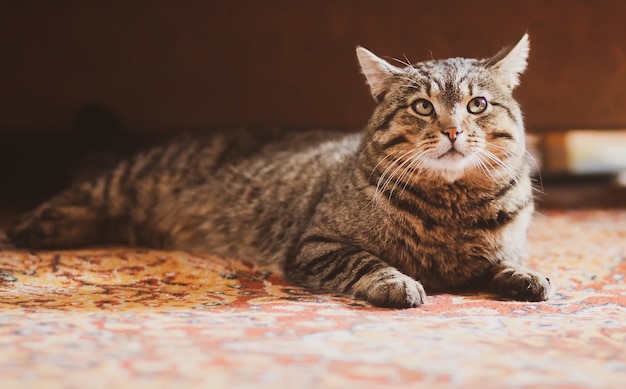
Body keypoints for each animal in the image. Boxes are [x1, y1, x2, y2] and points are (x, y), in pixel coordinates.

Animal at [4, 34, 552, 306]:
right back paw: (29, 229)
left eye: (477, 104)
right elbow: (368, 263)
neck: (451, 204)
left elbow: (509, 260)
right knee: (80, 193)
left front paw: (528, 277)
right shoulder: (318, 244)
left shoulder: (505, 244)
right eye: (422, 107)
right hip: (131, 180)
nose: (454, 130)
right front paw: (397, 282)